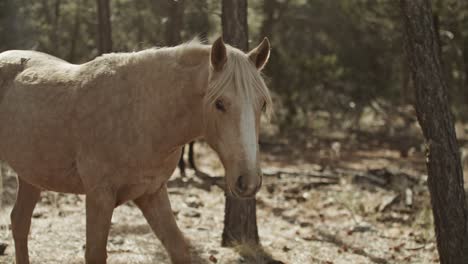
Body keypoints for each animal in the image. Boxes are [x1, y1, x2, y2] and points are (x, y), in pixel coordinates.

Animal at [0, 37, 270, 264]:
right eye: (220, 103)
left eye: (262, 104)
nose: (249, 181)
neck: (141, 115)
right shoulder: (99, 196)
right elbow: (95, 253)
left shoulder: (152, 193)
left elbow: (178, 248)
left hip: (31, 177)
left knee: (20, 222)